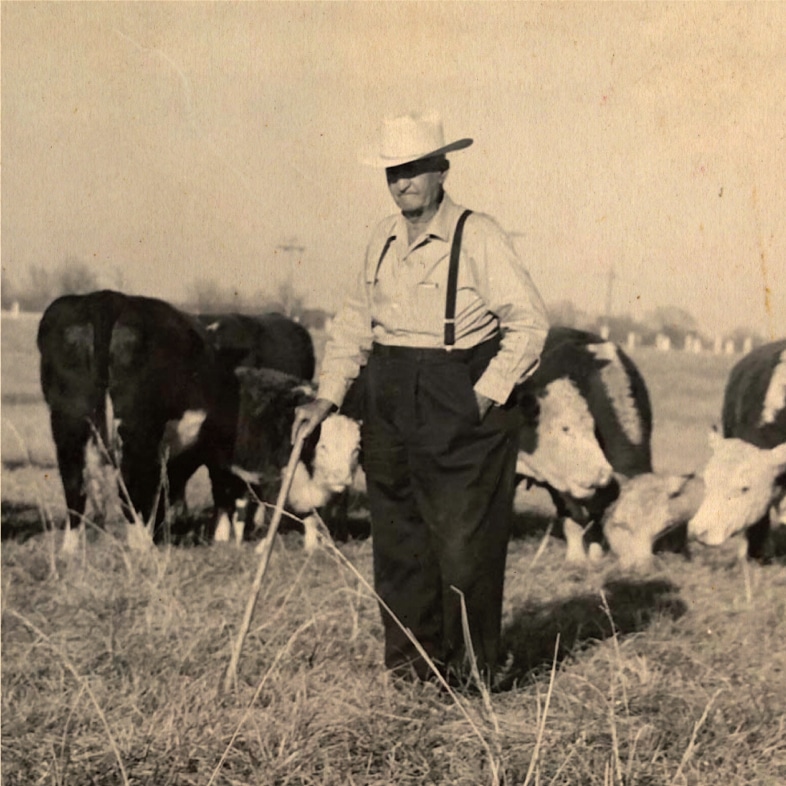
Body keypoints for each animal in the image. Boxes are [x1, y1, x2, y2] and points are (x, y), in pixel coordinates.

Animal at [39, 288, 236, 552]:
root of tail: (107, 298)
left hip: (68, 421)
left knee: (74, 484)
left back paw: (71, 549)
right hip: (135, 427)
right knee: (128, 483)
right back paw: (142, 545)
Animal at [214, 368, 362, 552]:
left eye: (356, 450)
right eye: (323, 446)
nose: (341, 478)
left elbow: (312, 516)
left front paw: (312, 547)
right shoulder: (274, 478)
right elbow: (275, 511)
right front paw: (264, 546)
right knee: (222, 497)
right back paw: (222, 536)